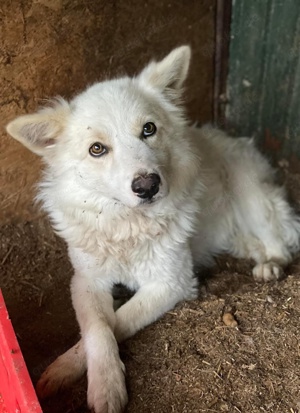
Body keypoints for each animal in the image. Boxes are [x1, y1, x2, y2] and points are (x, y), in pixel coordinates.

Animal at [6, 46, 300, 410]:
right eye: (96, 149)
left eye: (148, 129)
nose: (148, 185)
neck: (130, 226)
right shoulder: (86, 280)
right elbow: (98, 329)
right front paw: (87, 379)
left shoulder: (171, 283)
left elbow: (119, 320)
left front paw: (97, 384)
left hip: (250, 194)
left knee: (280, 238)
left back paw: (270, 266)